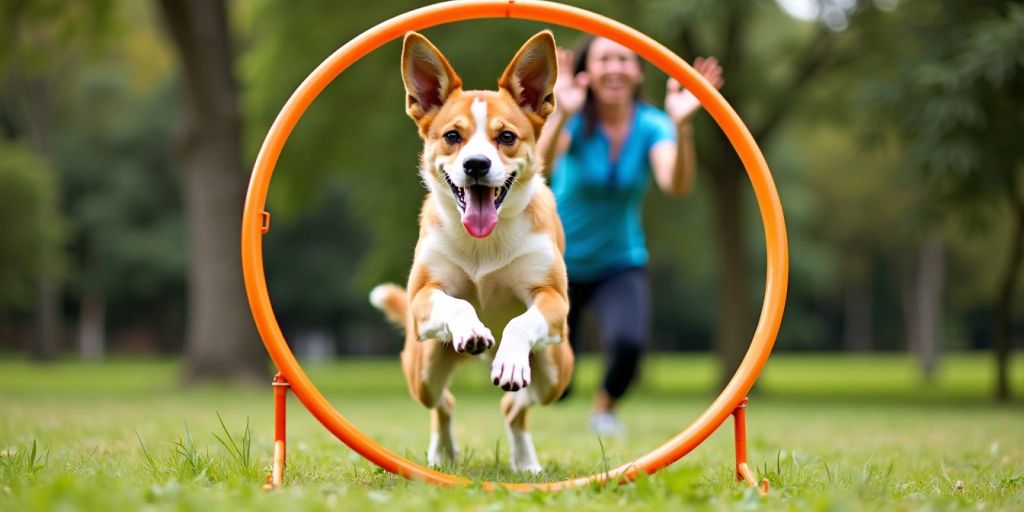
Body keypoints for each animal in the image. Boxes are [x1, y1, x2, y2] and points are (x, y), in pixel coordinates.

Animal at [368, 30, 577, 471]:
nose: (477, 164)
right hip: (423, 366)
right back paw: (442, 454)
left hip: (556, 368)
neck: (485, 245)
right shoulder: (423, 295)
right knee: (442, 401)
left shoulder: (552, 298)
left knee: (514, 407)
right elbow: (457, 303)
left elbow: (521, 323)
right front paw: (472, 329)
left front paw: (510, 359)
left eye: (506, 137)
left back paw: (525, 461)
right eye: (452, 136)